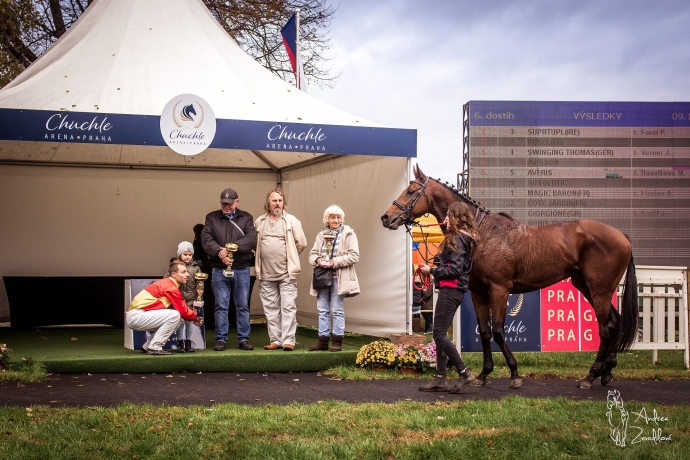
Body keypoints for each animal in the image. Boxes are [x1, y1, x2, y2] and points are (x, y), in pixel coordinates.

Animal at [378, 165, 636, 388]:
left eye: (410, 191)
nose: (386, 217)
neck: (480, 233)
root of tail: (622, 236)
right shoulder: (479, 293)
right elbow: (485, 332)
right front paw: (483, 374)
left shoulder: (499, 289)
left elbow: (499, 331)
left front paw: (514, 372)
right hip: (588, 286)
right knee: (614, 323)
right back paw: (607, 371)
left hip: (599, 290)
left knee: (606, 329)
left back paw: (591, 376)